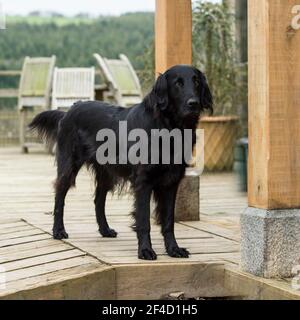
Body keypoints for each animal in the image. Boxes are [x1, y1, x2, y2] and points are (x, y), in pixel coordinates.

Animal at [29, 65, 213, 260]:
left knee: (98, 199)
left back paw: (105, 230)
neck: (168, 128)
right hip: (69, 165)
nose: (194, 103)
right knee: (60, 196)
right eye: (178, 83)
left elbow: (169, 220)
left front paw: (173, 249)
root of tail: (69, 110)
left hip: (106, 173)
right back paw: (58, 231)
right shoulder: (143, 182)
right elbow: (143, 220)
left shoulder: (171, 182)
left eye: (196, 81)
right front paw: (145, 250)